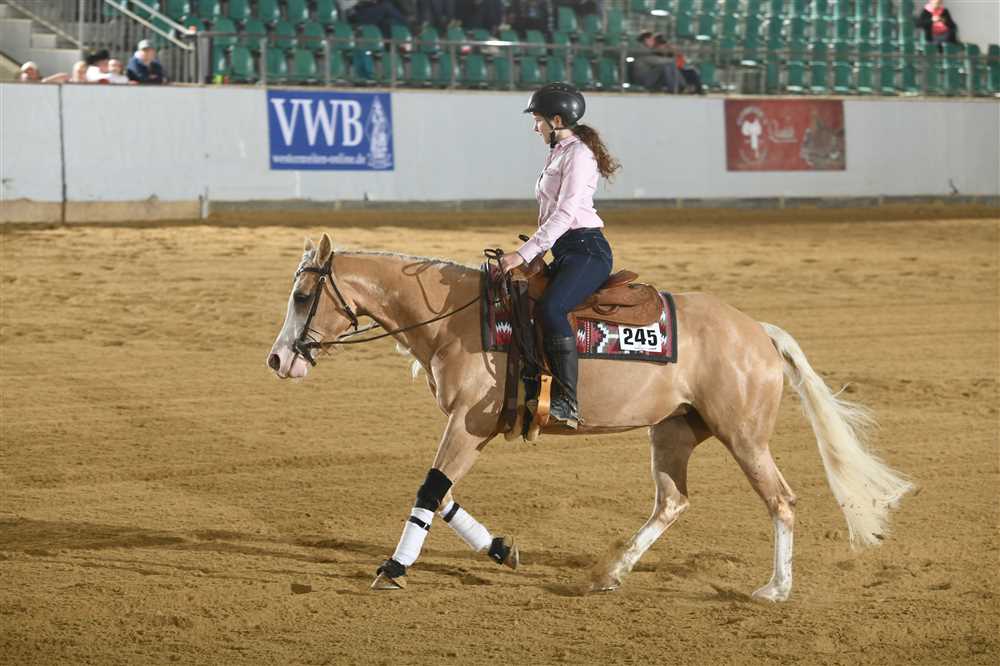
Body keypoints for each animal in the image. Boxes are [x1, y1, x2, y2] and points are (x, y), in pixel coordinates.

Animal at [267, 233, 913, 600]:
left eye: (302, 296)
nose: (277, 359)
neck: (461, 318)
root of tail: (758, 331)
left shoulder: (468, 424)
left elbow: (430, 489)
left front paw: (393, 569)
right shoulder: (472, 429)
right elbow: (443, 492)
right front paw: (500, 549)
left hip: (745, 437)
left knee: (781, 500)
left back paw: (776, 589)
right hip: (672, 433)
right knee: (672, 502)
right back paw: (611, 574)